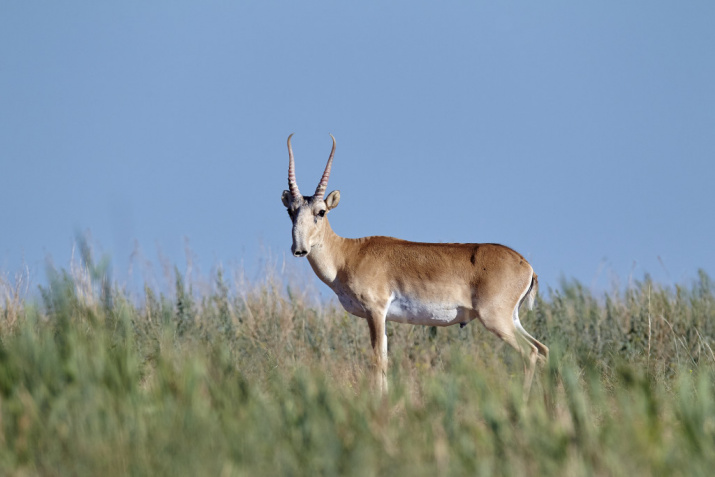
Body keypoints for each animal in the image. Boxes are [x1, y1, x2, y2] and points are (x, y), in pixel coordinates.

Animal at [282, 135, 552, 398]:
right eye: (290, 210)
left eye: (321, 211)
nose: (299, 249)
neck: (348, 254)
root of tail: (525, 265)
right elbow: (384, 358)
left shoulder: (375, 311)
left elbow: (378, 360)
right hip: (513, 319)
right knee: (543, 349)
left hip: (496, 319)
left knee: (530, 352)